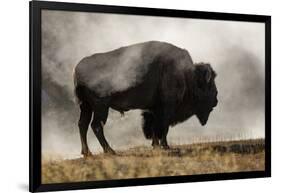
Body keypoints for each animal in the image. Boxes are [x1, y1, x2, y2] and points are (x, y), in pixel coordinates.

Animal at [72, 40, 217, 157]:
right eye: (209, 85)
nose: (216, 99)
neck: (187, 74)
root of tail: (77, 69)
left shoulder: (154, 109)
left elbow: (155, 127)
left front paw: (156, 145)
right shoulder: (167, 107)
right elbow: (163, 127)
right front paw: (165, 146)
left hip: (86, 106)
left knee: (82, 124)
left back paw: (87, 153)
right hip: (100, 107)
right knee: (96, 125)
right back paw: (110, 151)